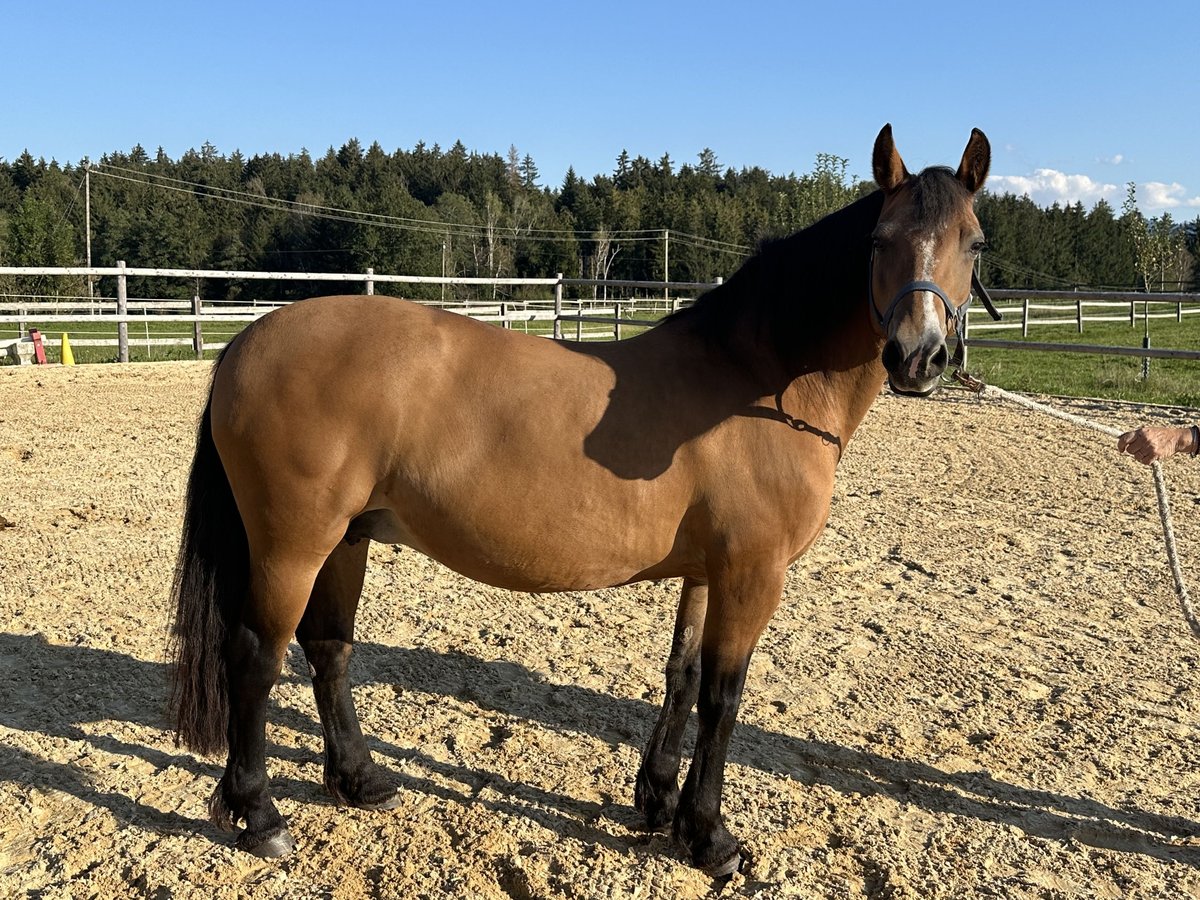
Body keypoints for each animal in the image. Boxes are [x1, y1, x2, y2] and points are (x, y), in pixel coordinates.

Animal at [169, 123, 993, 878]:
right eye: (880, 239)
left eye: (974, 243)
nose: (918, 356)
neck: (756, 384)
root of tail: (247, 341)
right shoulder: (753, 573)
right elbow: (724, 697)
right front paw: (710, 836)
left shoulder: (708, 571)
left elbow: (683, 678)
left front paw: (658, 804)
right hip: (292, 545)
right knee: (255, 657)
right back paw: (260, 814)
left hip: (348, 537)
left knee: (329, 649)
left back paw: (359, 780)